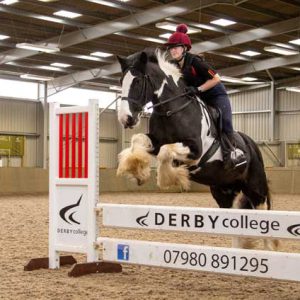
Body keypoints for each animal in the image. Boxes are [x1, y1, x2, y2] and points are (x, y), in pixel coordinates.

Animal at [116, 48, 278, 251]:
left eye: (137, 81)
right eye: (121, 81)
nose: (126, 119)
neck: (172, 110)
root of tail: (253, 145)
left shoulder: (196, 150)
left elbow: (166, 152)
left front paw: (168, 178)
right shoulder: (156, 141)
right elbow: (139, 140)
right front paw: (138, 172)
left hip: (256, 188)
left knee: (264, 217)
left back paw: (269, 251)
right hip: (223, 191)